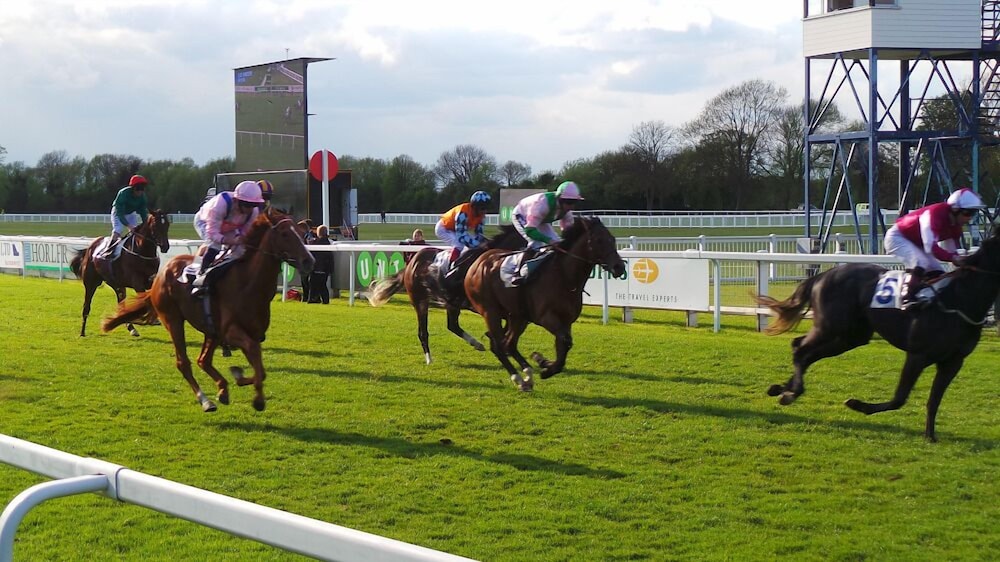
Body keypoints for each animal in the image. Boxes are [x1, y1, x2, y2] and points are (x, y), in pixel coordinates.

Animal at [101, 207, 315, 413]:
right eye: (285, 234)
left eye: (301, 231)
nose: (309, 261)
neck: (248, 284)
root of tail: (161, 274)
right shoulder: (231, 331)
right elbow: (254, 358)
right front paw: (256, 398)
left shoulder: (252, 333)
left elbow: (260, 370)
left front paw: (242, 381)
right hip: (173, 320)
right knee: (184, 362)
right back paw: (206, 401)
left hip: (211, 331)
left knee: (203, 360)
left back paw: (222, 388)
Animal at [367, 226, 524, 364]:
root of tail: (412, 262)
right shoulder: (483, 306)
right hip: (420, 301)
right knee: (424, 332)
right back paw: (429, 359)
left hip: (451, 304)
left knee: (452, 325)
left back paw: (477, 344)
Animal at [464, 217, 627, 391]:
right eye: (598, 240)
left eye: (612, 239)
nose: (619, 267)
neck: (565, 277)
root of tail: (477, 263)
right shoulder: (546, 318)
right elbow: (564, 342)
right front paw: (546, 368)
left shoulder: (566, 321)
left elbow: (564, 345)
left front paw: (542, 361)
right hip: (490, 311)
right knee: (499, 347)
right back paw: (518, 379)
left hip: (517, 316)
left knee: (510, 344)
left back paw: (527, 376)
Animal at [754, 230, 1000, 441]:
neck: (959, 299)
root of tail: (824, 274)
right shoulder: (918, 355)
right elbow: (899, 398)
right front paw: (857, 405)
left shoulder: (952, 362)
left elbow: (934, 401)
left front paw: (930, 435)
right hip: (830, 326)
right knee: (800, 348)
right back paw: (792, 392)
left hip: (851, 337)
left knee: (806, 353)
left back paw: (784, 388)